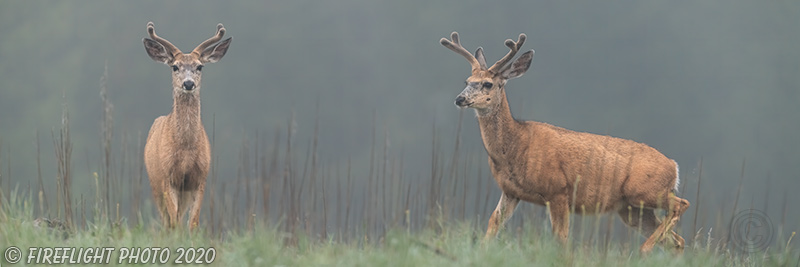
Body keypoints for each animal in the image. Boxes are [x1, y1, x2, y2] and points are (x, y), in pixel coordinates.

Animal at [142, 21, 231, 230]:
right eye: (175, 67)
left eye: (200, 67)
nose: (188, 83)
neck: (186, 150)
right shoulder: (167, 178)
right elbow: (175, 222)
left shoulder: (200, 179)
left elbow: (193, 222)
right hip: (155, 184)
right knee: (167, 221)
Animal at [440, 31, 692, 253]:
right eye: (467, 80)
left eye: (488, 84)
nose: (460, 99)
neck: (517, 145)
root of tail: (674, 166)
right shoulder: (511, 192)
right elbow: (492, 227)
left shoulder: (559, 191)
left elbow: (561, 239)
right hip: (630, 208)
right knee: (676, 240)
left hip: (646, 191)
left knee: (682, 205)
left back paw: (643, 250)